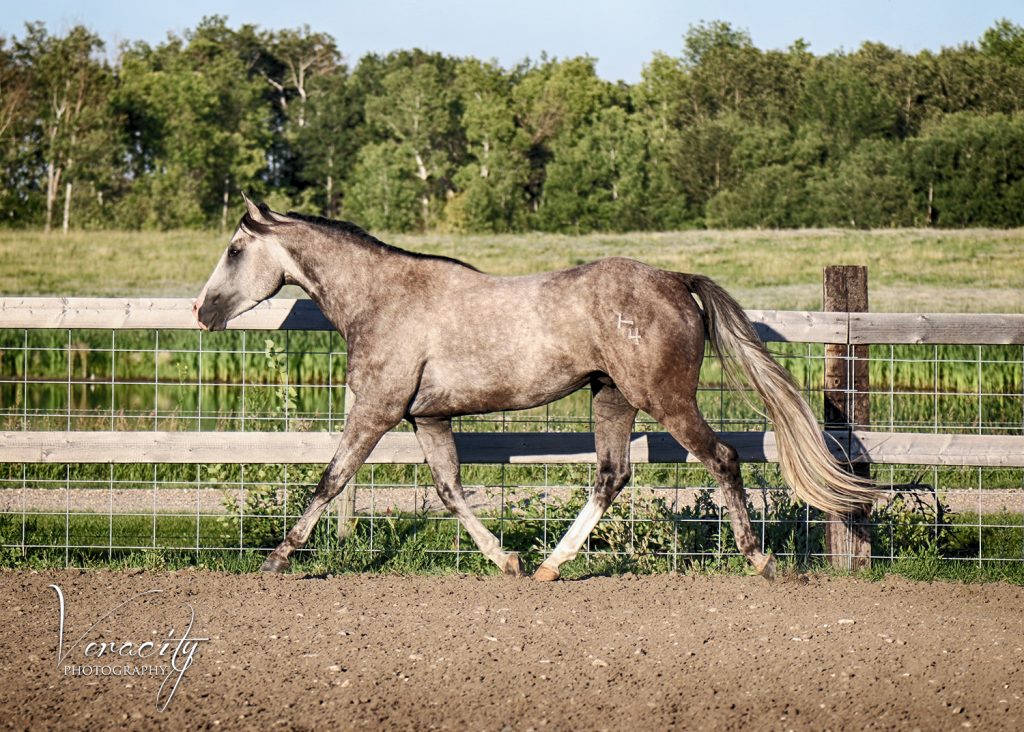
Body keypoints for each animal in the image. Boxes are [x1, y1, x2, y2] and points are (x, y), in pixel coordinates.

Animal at [193, 196, 880, 585]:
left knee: (723, 458)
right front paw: (508, 561)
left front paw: (277, 559)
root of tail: (675, 279)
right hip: (611, 397)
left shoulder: (378, 411)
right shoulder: (427, 419)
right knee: (610, 476)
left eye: (234, 249)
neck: (383, 299)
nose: (202, 311)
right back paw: (550, 565)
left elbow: (331, 479)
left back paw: (759, 561)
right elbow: (450, 491)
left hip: (665, 400)